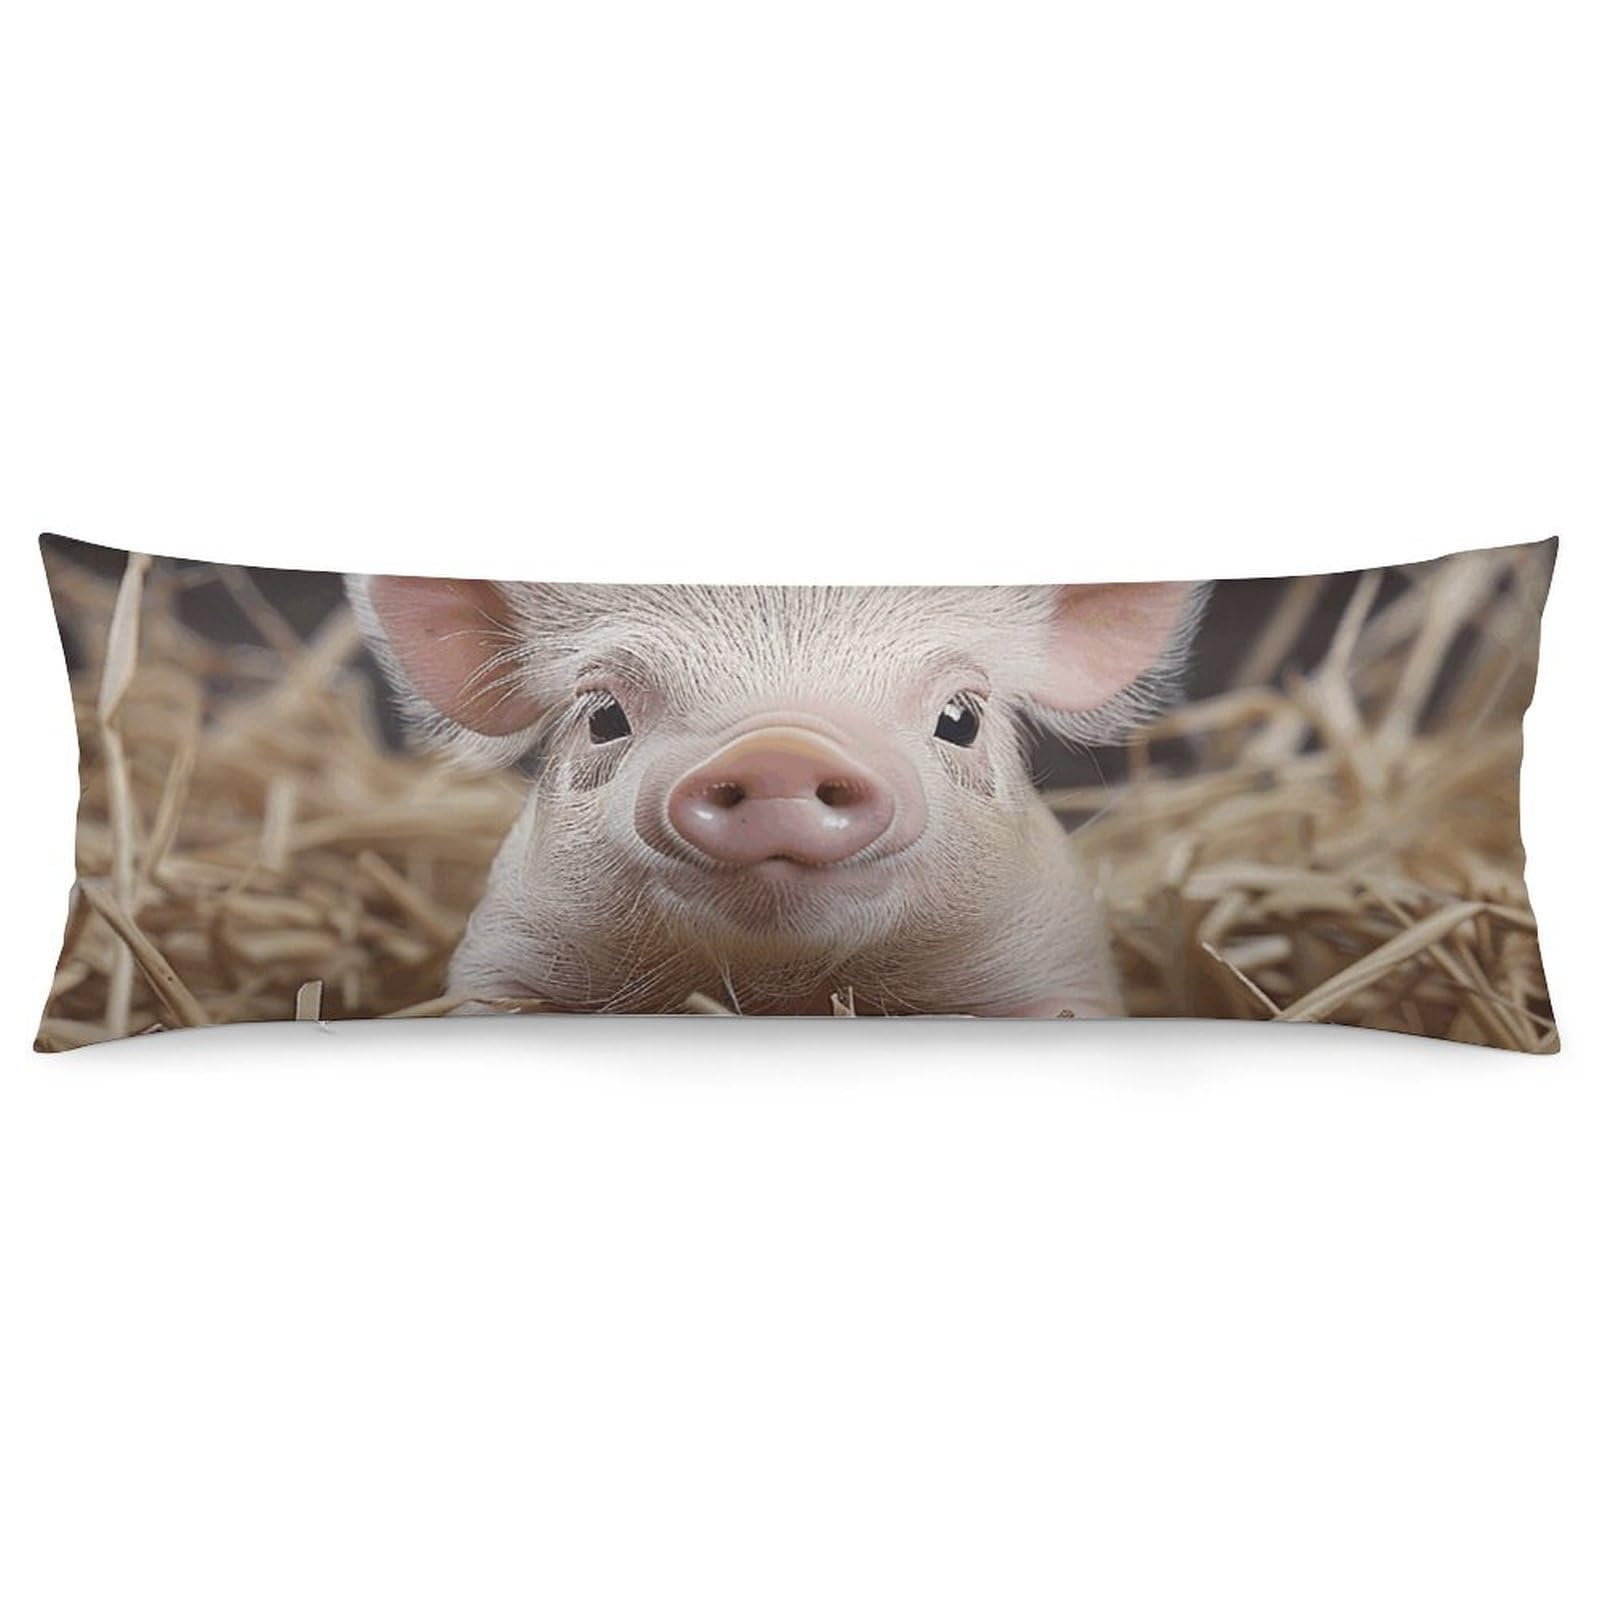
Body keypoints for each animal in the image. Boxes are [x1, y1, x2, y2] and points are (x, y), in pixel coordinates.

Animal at [347, 578, 1205, 1017]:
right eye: (604, 716)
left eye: (959, 719)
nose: (781, 752)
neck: (782, 985)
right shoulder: (510, 957)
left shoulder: (1053, 967)